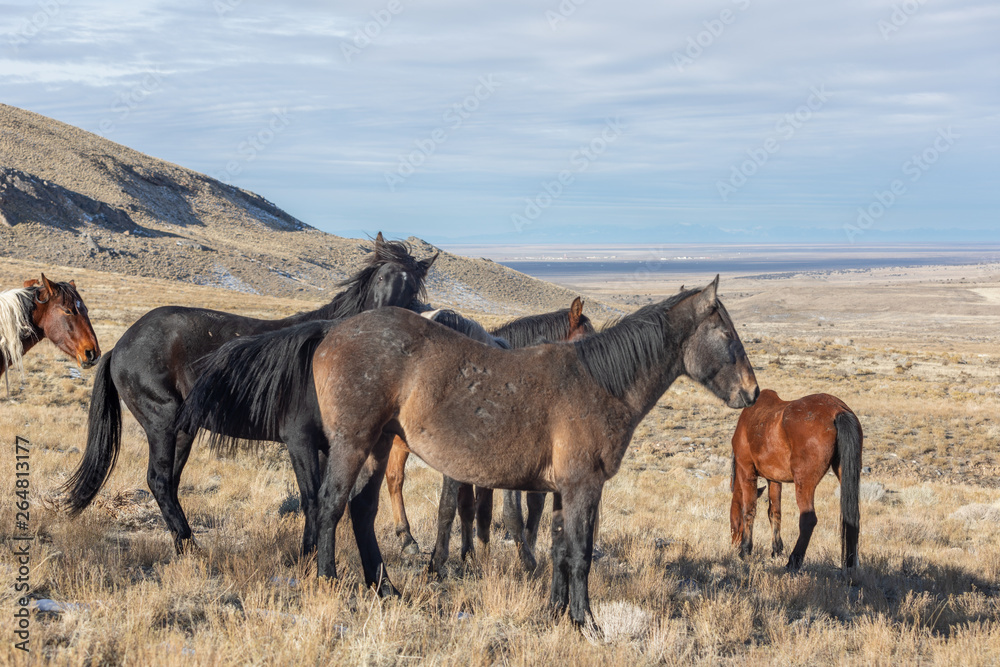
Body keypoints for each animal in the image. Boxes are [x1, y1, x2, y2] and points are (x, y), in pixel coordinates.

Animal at [62, 235, 436, 564]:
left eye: (412, 288)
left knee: (167, 482)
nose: (381, 328)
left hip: (182, 430)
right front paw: (307, 558)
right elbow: (312, 500)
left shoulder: (331, 445)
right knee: (159, 480)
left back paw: (186, 547)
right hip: (162, 423)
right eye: (380, 278)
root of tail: (121, 344)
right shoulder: (299, 440)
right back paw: (191, 547)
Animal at [732, 392, 864, 576]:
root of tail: (837, 410)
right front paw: (776, 550)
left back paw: (793, 562)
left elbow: (749, 511)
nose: (733, 544)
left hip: (803, 482)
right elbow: (774, 513)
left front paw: (745, 550)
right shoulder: (774, 479)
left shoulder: (746, 472)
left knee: (808, 520)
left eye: (732, 521)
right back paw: (851, 564)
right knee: (852, 519)